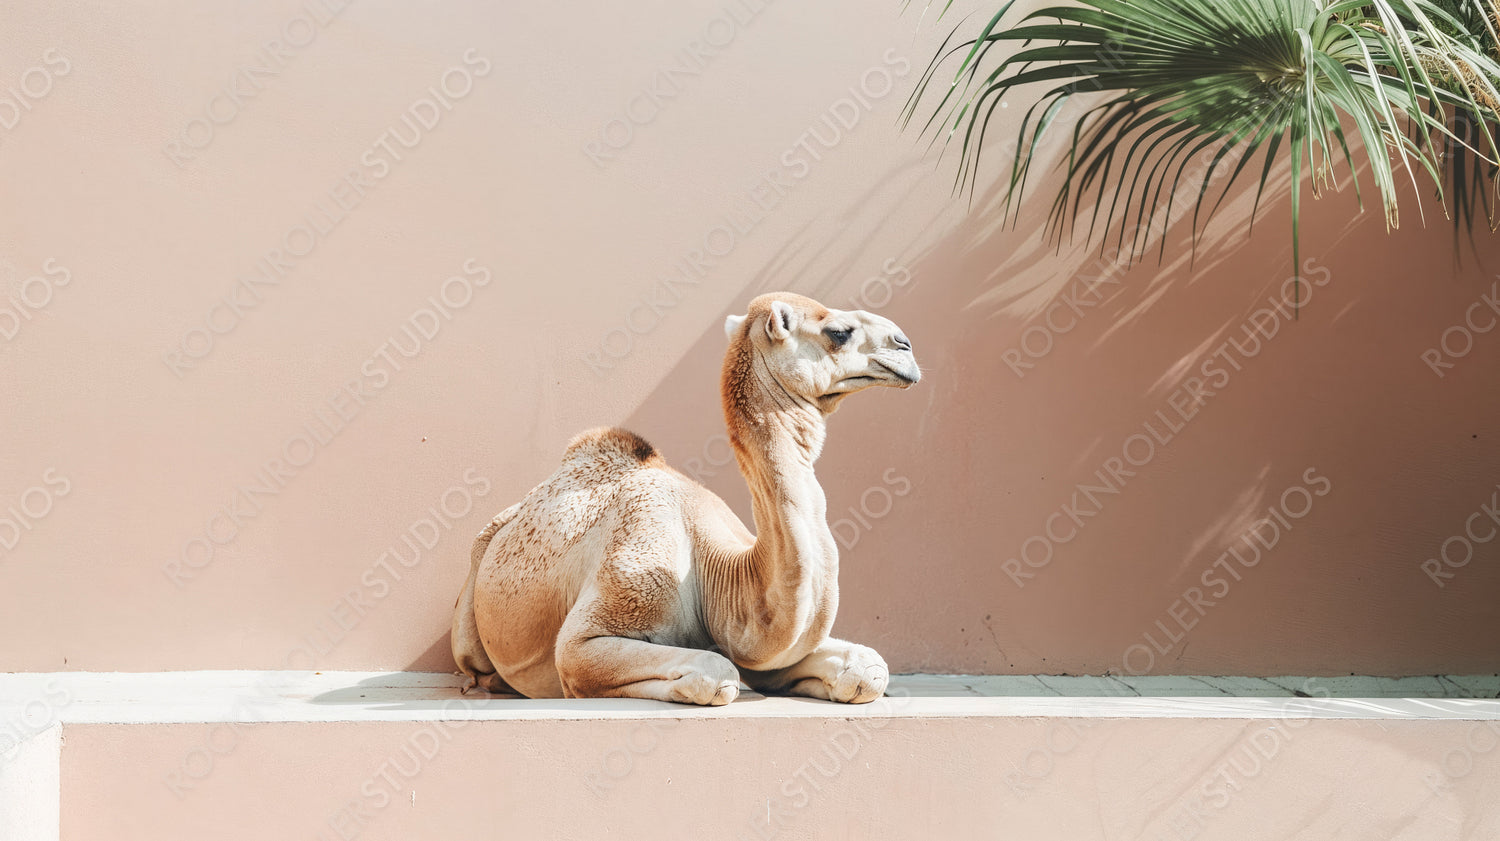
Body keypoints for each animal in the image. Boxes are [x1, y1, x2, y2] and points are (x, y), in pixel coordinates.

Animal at [447, 292, 912, 698]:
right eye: (839, 332)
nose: (905, 345)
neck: (721, 576)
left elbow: (868, 668)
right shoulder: (593, 627)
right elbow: (715, 671)